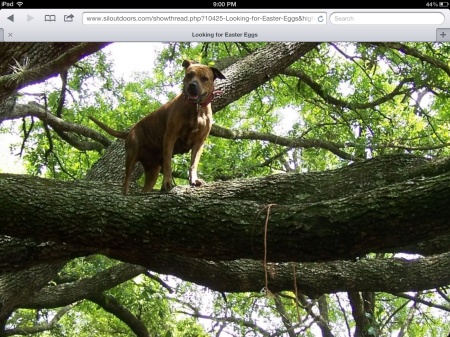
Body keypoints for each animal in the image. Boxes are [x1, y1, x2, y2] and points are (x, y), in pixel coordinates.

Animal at [90, 59, 227, 193]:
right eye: (189, 75)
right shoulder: (170, 136)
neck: (196, 108)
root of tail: (130, 132)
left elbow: (193, 163)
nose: (192, 85)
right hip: (131, 156)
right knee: (125, 183)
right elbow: (168, 164)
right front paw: (167, 182)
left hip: (153, 171)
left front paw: (194, 180)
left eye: (204, 78)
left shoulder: (199, 142)